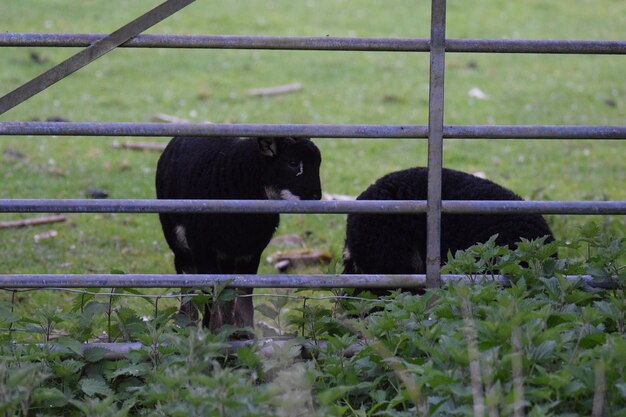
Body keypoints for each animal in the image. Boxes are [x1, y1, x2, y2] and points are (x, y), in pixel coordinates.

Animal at [156, 136, 322, 332]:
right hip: (178, 241)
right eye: (293, 163)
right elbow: (211, 293)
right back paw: (186, 323)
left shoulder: (251, 252)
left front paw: (244, 332)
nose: (316, 197)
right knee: (187, 280)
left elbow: (243, 295)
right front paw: (209, 331)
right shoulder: (202, 248)